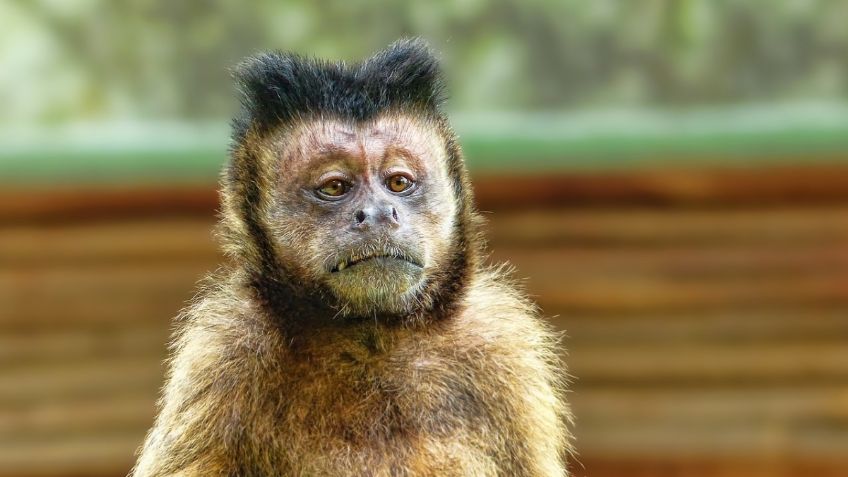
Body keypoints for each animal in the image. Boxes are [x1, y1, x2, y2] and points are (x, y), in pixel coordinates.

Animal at [131, 39, 568, 474]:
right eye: (335, 187)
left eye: (398, 182)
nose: (377, 213)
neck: (372, 338)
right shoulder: (223, 355)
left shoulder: (500, 350)